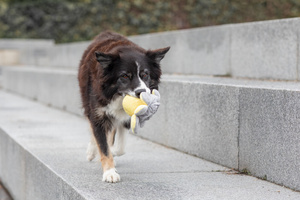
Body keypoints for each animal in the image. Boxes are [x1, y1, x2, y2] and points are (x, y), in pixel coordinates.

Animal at [77, 31, 170, 183]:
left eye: (145, 74)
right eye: (125, 76)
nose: (141, 92)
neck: (118, 95)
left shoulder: (126, 116)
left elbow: (120, 146)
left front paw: (113, 152)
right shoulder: (98, 112)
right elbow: (103, 144)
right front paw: (109, 172)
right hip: (87, 100)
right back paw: (91, 152)